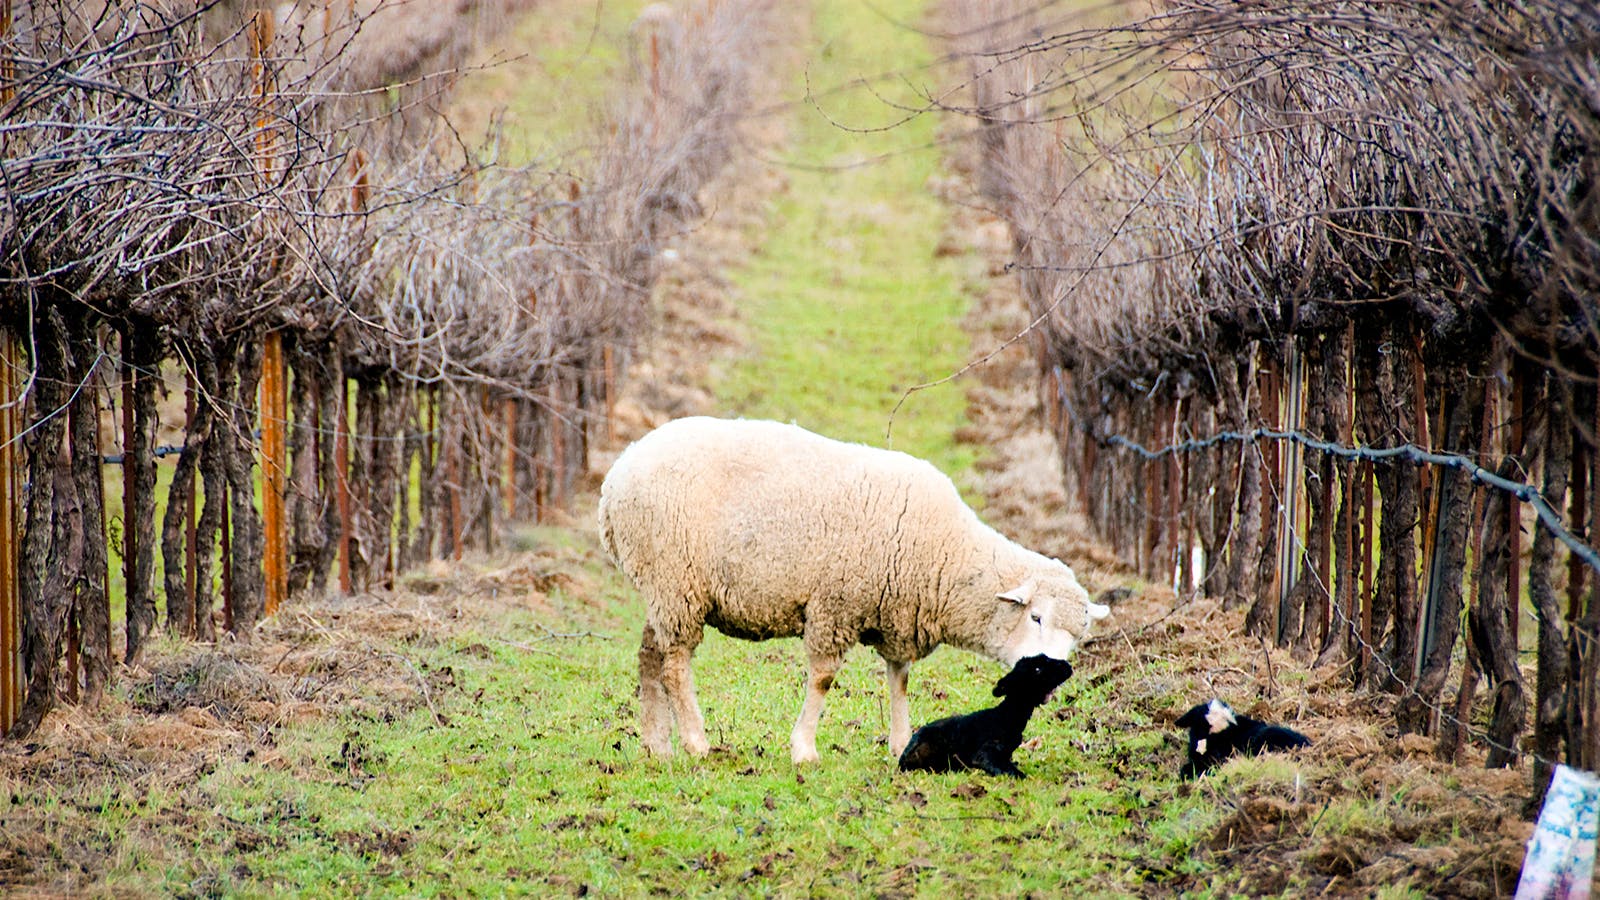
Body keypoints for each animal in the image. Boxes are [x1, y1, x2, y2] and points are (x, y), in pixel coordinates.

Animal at [597, 416, 1109, 764]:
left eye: (1078, 637)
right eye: (1035, 616)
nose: (1053, 675)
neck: (947, 554)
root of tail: (616, 475)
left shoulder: (898, 611)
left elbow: (899, 679)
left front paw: (900, 742)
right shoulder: (835, 604)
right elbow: (823, 679)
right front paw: (803, 749)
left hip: (663, 588)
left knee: (650, 656)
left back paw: (657, 744)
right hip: (676, 581)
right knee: (675, 665)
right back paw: (696, 742)